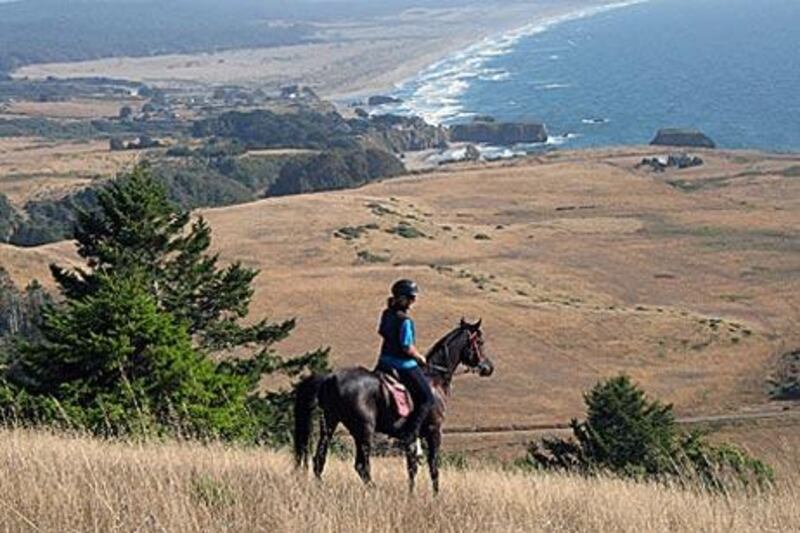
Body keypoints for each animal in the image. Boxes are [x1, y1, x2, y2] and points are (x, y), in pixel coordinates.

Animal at [294, 318, 494, 492]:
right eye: (480, 342)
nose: (488, 367)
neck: (435, 379)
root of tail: (331, 377)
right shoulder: (434, 431)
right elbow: (433, 467)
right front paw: (435, 497)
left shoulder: (411, 437)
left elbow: (412, 468)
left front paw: (411, 495)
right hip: (364, 430)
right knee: (361, 466)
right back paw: (375, 491)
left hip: (330, 422)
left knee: (319, 459)